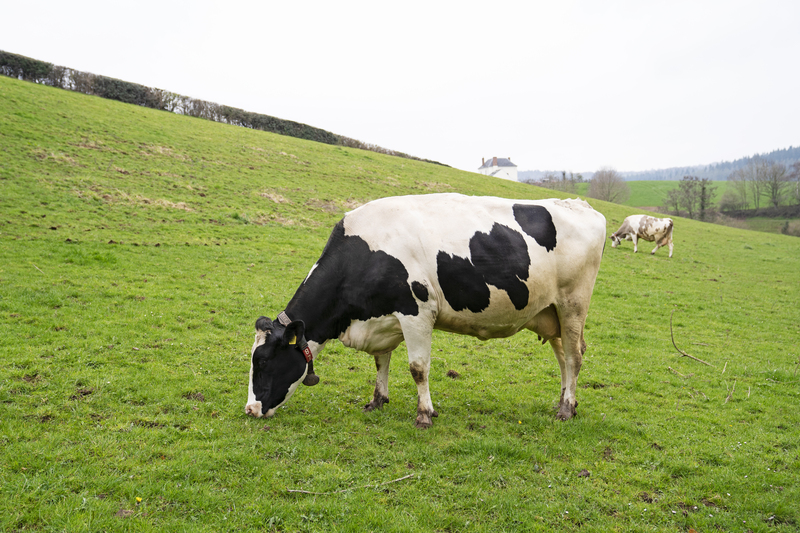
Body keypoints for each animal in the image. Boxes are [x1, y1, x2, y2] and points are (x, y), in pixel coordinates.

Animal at [245, 193, 608, 426]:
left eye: (262, 361)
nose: (250, 409)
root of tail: (581, 205)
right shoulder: (385, 316)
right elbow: (381, 361)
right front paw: (377, 401)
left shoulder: (417, 312)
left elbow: (418, 368)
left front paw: (424, 414)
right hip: (551, 313)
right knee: (562, 357)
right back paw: (564, 401)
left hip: (573, 304)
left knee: (574, 356)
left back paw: (566, 409)